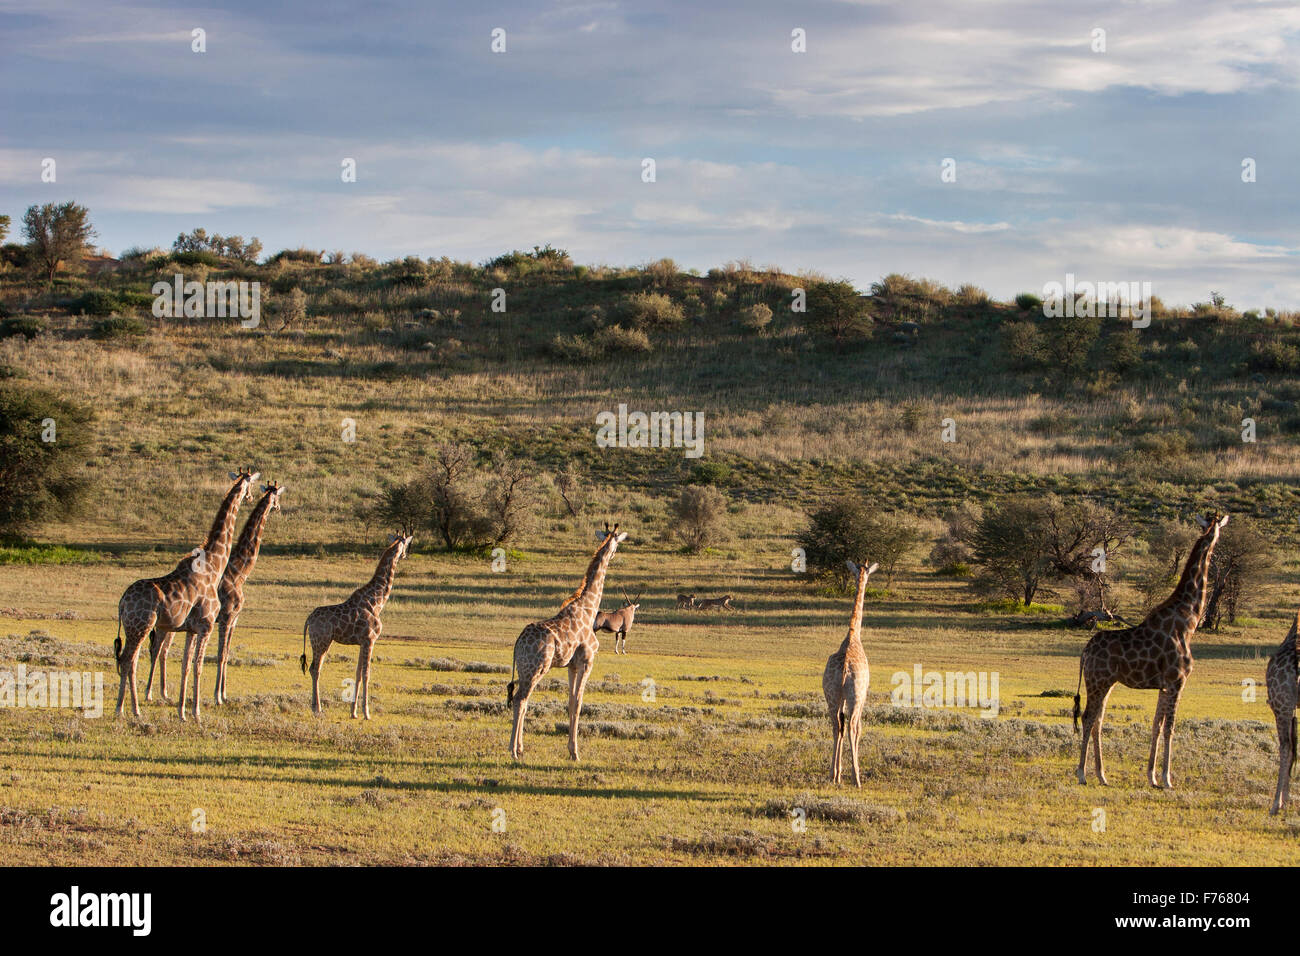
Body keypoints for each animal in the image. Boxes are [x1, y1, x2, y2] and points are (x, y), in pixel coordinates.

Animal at [114, 470, 259, 720]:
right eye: (250, 484)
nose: (250, 497)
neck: (214, 565)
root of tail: (123, 602)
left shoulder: (191, 629)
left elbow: (185, 665)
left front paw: (182, 711)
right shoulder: (206, 625)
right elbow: (199, 666)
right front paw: (196, 712)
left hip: (136, 628)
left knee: (130, 660)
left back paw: (130, 708)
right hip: (141, 626)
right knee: (127, 660)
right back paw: (125, 709)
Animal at [212, 482, 285, 705]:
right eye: (278, 497)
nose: (278, 507)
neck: (238, 573)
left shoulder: (234, 618)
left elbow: (227, 653)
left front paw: (224, 694)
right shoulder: (226, 616)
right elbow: (221, 654)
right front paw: (217, 697)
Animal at [300, 533, 412, 719]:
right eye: (406, 543)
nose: (404, 555)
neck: (377, 601)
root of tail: (308, 620)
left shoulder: (362, 642)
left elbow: (358, 674)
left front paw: (353, 712)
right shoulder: (370, 639)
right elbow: (367, 674)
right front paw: (367, 713)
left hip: (321, 642)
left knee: (313, 668)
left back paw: (315, 707)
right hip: (321, 641)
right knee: (315, 669)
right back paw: (318, 709)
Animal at [507, 521, 628, 761]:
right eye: (617, 542)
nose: (614, 554)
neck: (588, 608)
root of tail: (518, 644)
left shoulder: (571, 666)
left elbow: (570, 702)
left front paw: (570, 749)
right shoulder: (587, 661)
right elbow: (579, 703)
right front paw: (575, 752)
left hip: (525, 669)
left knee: (523, 700)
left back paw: (521, 748)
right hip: (536, 668)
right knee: (519, 699)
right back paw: (513, 750)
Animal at [1073, 511, 1228, 788]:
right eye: (1216, 527)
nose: (1214, 538)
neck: (1189, 620)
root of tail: (1085, 652)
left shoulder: (1164, 685)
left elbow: (1157, 724)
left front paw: (1152, 776)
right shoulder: (1177, 681)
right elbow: (1170, 727)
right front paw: (1167, 779)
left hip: (1107, 683)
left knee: (1098, 720)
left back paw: (1102, 775)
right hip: (1097, 681)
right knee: (1088, 717)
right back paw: (1082, 774)